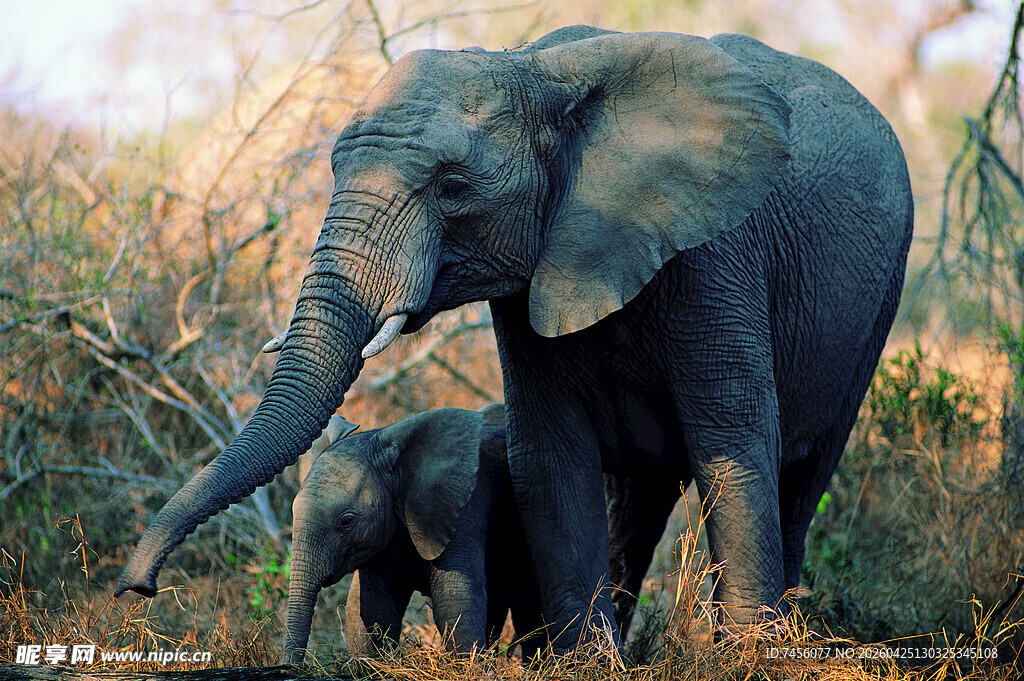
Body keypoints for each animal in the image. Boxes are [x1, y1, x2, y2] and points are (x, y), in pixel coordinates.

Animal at [283, 405, 546, 662]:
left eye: (346, 522)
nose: (289, 667)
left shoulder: (461, 508)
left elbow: (456, 602)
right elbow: (372, 606)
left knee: (529, 613)